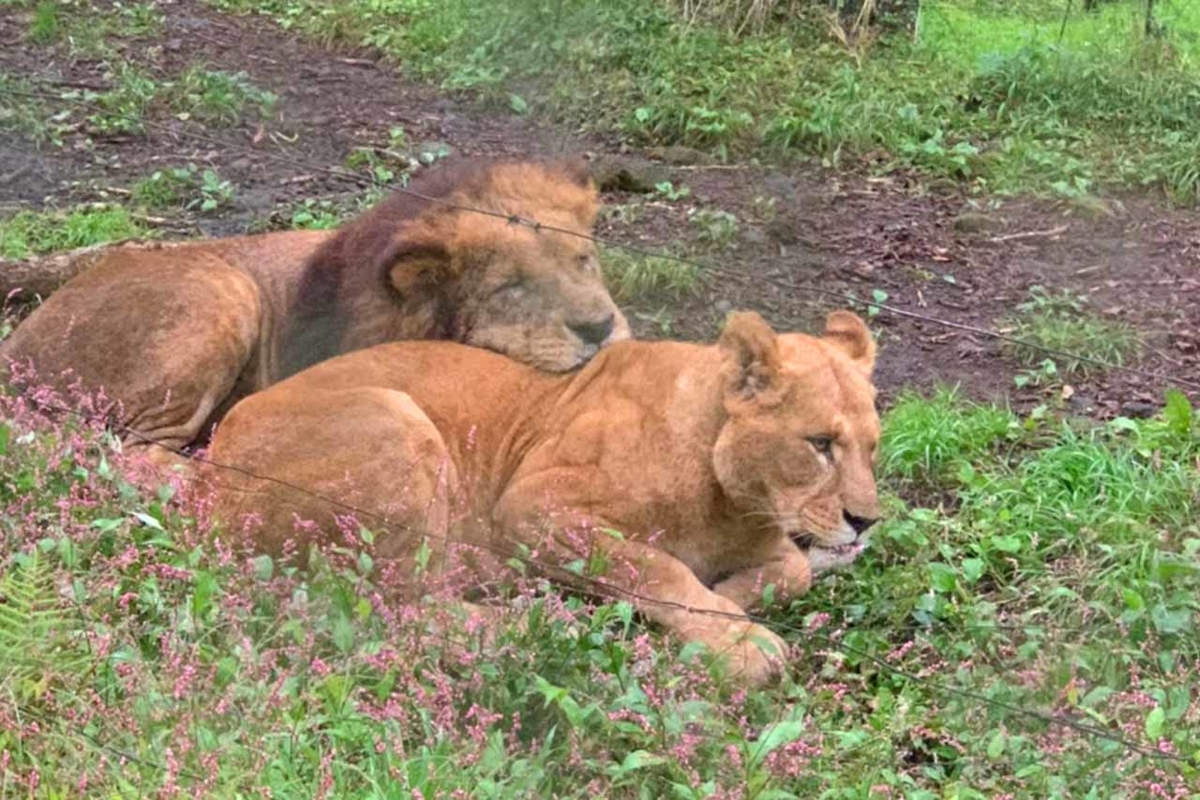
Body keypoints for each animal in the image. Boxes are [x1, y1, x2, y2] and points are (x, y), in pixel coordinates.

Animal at [206, 309, 883, 686]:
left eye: (873, 446)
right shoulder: (533, 505)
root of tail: (206, 483)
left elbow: (793, 569)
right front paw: (741, 640)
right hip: (399, 421)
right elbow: (653, 565)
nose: (866, 522)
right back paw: (535, 615)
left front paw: (732, 599)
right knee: (390, 603)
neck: (733, 503)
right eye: (820, 443)